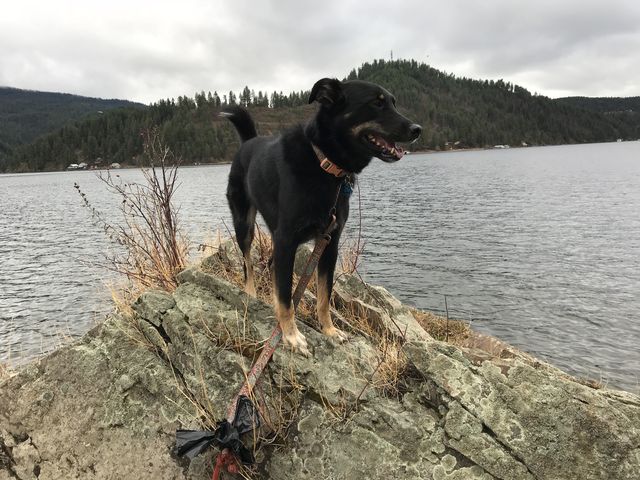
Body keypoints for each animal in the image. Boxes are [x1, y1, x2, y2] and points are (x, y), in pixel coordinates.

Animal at [224, 79, 420, 354]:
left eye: (393, 102)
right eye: (376, 103)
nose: (417, 129)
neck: (324, 164)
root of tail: (248, 143)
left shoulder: (329, 243)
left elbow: (324, 296)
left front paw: (328, 330)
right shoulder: (286, 239)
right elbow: (286, 296)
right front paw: (290, 335)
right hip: (245, 224)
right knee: (248, 263)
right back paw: (251, 293)